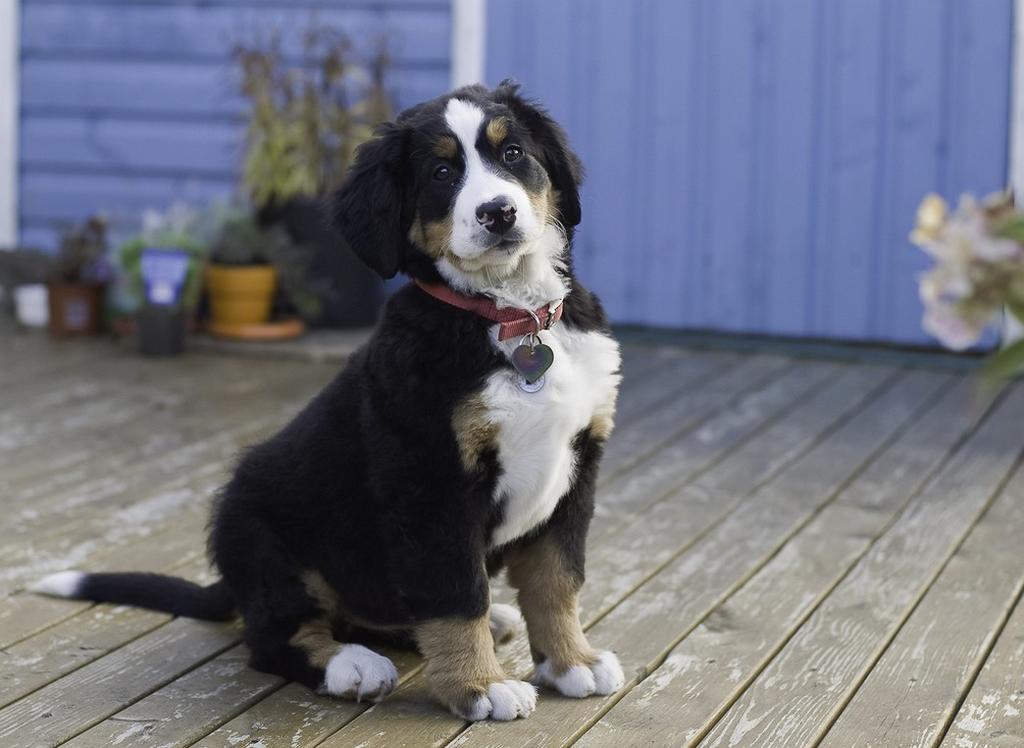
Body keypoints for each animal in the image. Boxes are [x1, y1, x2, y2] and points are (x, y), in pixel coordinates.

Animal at [32, 79, 622, 717]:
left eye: (512, 154)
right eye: (441, 172)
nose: (497, 212)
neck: (509, 314)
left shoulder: (578, 465)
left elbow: (556, 579)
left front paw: (572, 661)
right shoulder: (431, 482)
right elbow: (456, 594)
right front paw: (480, 685)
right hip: (265, 535)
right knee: (275, 636)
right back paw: (351, 665)